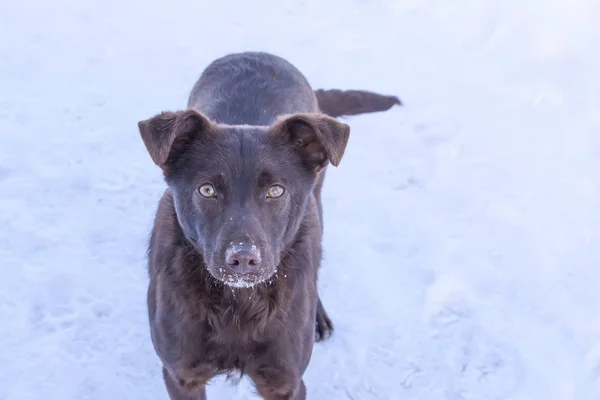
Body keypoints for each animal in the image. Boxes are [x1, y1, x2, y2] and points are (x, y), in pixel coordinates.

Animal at [136, 51, 398, 398]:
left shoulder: (285, 382)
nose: (243, 259)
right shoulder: (181, 376)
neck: (238, 304)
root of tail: (255, 53)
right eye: (207, 190)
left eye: (275, 191)